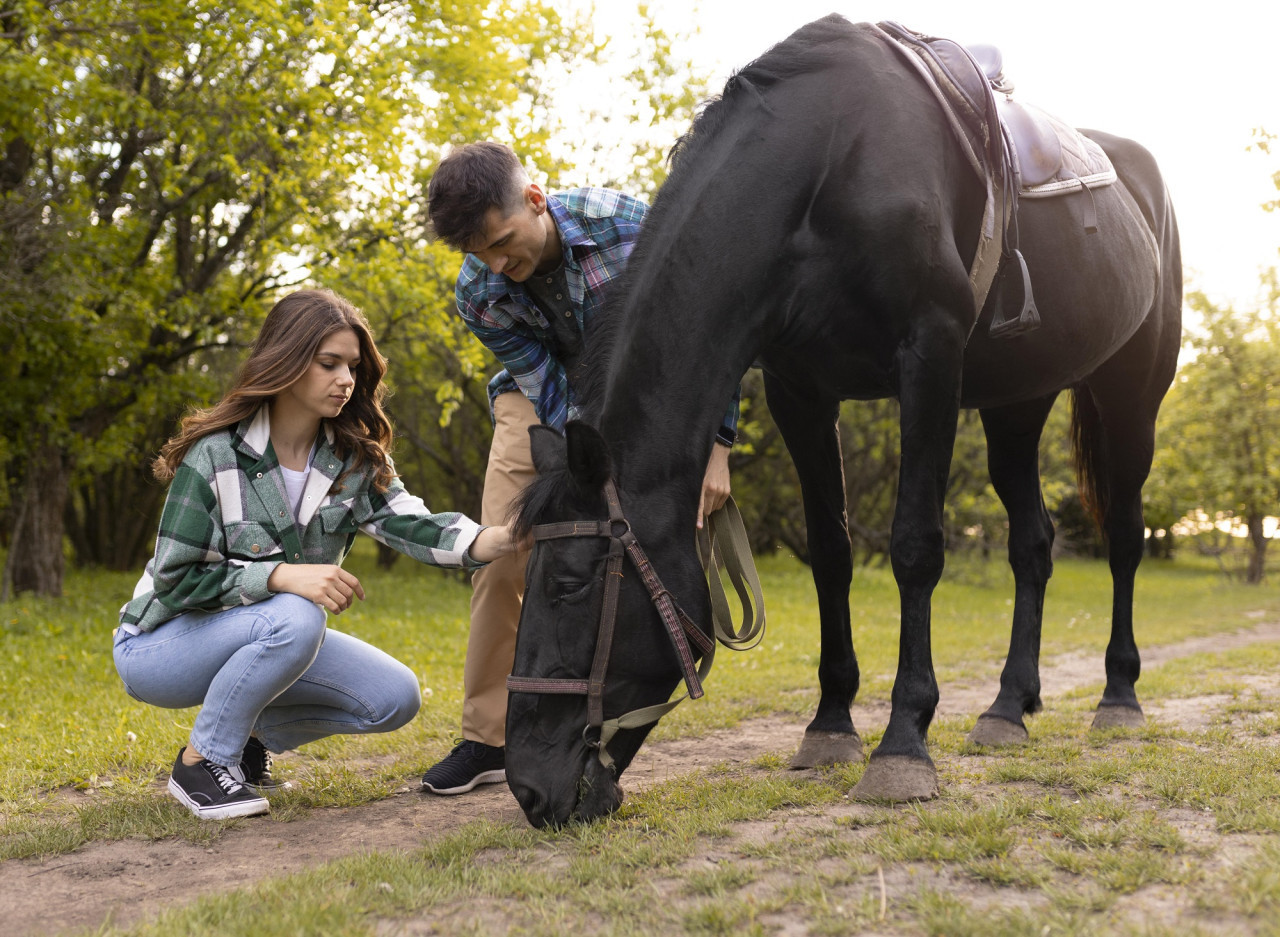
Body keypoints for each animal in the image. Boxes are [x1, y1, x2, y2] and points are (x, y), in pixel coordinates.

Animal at [504, 14, 1182, 829]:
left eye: (570, 583)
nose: (527, 787)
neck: (826, 165)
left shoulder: (929, 357)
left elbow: (915, 547)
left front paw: (902, 741)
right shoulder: (799, 390)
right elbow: (830, 553)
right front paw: (830, 724)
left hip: (1131, 396)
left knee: (1123, 538)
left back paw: (1119, 695)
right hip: (1016, 406)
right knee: (1033, 544)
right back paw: (1008, 707)